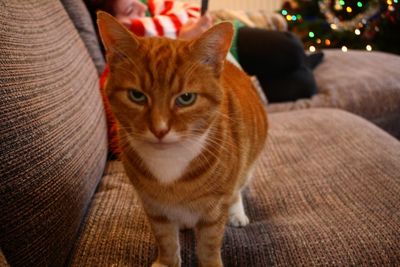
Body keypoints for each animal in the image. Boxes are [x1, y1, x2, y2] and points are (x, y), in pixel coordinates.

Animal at [97, 11, 268, 267]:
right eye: (136, 96)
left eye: (186, 98)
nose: (159, 130)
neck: (169, 164)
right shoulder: (154, 207)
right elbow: (166, 239)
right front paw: (167, 262)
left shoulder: (215, 208)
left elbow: (209, 243)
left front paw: (210, 262)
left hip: (246, 164)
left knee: (238, 189)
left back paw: (237, 213)